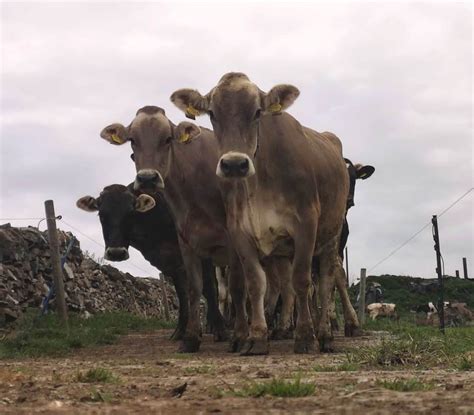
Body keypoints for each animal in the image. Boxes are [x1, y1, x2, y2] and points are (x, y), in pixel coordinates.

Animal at [170, 73, 348, 352]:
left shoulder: (306, 223)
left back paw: (325, 335)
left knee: (326, 283)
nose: (234, 164)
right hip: (283, 251)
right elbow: (255, 284)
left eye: (257, 112)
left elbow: (302, 280)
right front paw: (256, 337)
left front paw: (305, 337)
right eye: (212, 113)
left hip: (331, 235)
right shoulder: (239, 231)